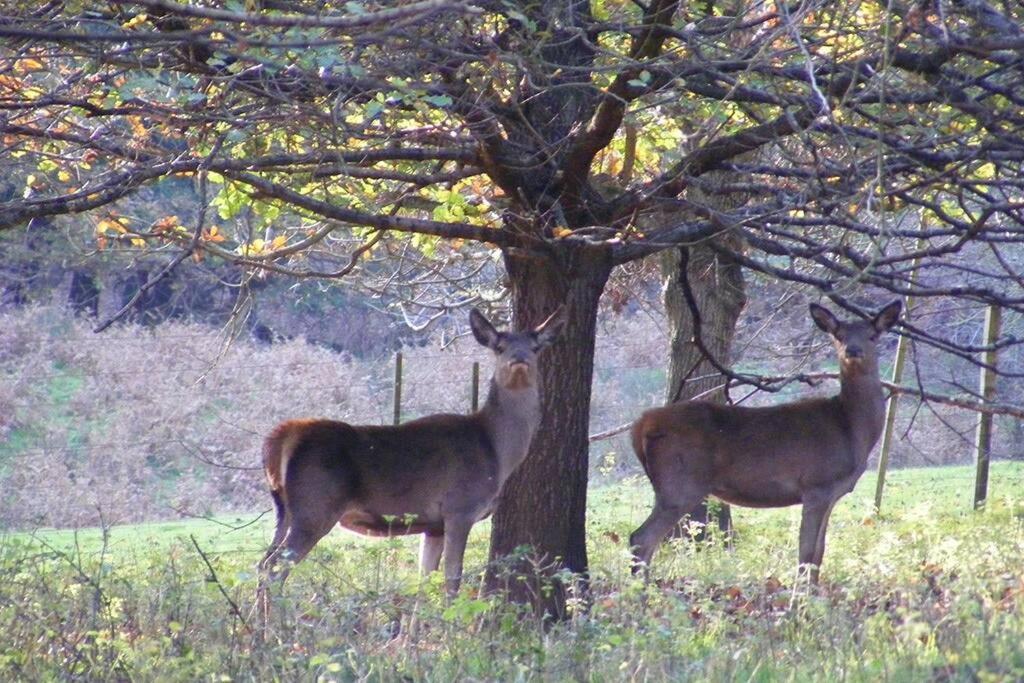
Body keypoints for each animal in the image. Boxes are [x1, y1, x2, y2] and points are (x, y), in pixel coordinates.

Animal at [253, 305, 561, 602]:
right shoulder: (460, 508)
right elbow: (452, 580)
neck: (496, 450)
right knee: (275, 568)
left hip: (285, 509)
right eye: (499, 347)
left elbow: (425, 582)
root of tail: (282, 437)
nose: (519, 358)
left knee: (263, 563)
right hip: (315, 505)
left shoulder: (433, 524)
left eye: (535, 347)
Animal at [626, 301, 901, 585]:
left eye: (873, 335)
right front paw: (801, 594)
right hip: (680, 482)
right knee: (641, 537)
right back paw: (641, 589)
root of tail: (641, 425)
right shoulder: (816, 485)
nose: (853, 350)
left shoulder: (831, 492)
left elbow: (820, 552)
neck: (850, 427)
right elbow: (807, 551)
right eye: (839, 335)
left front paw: (814, 591)